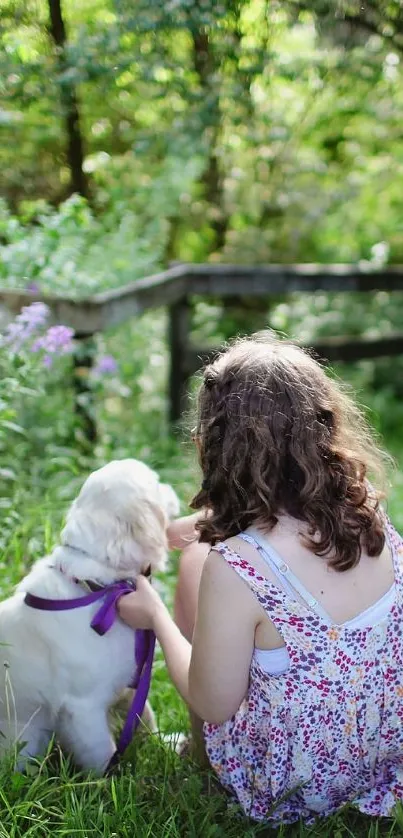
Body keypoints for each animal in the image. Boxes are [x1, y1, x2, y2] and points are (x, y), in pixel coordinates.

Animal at [0, 460, 180, 776]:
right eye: (156, 484)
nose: (172, 488)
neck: (98, 588)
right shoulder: (83, 708)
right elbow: (102, 752)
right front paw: (110, 782)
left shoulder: (130, 681)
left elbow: (145, 716)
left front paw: (166, 744)